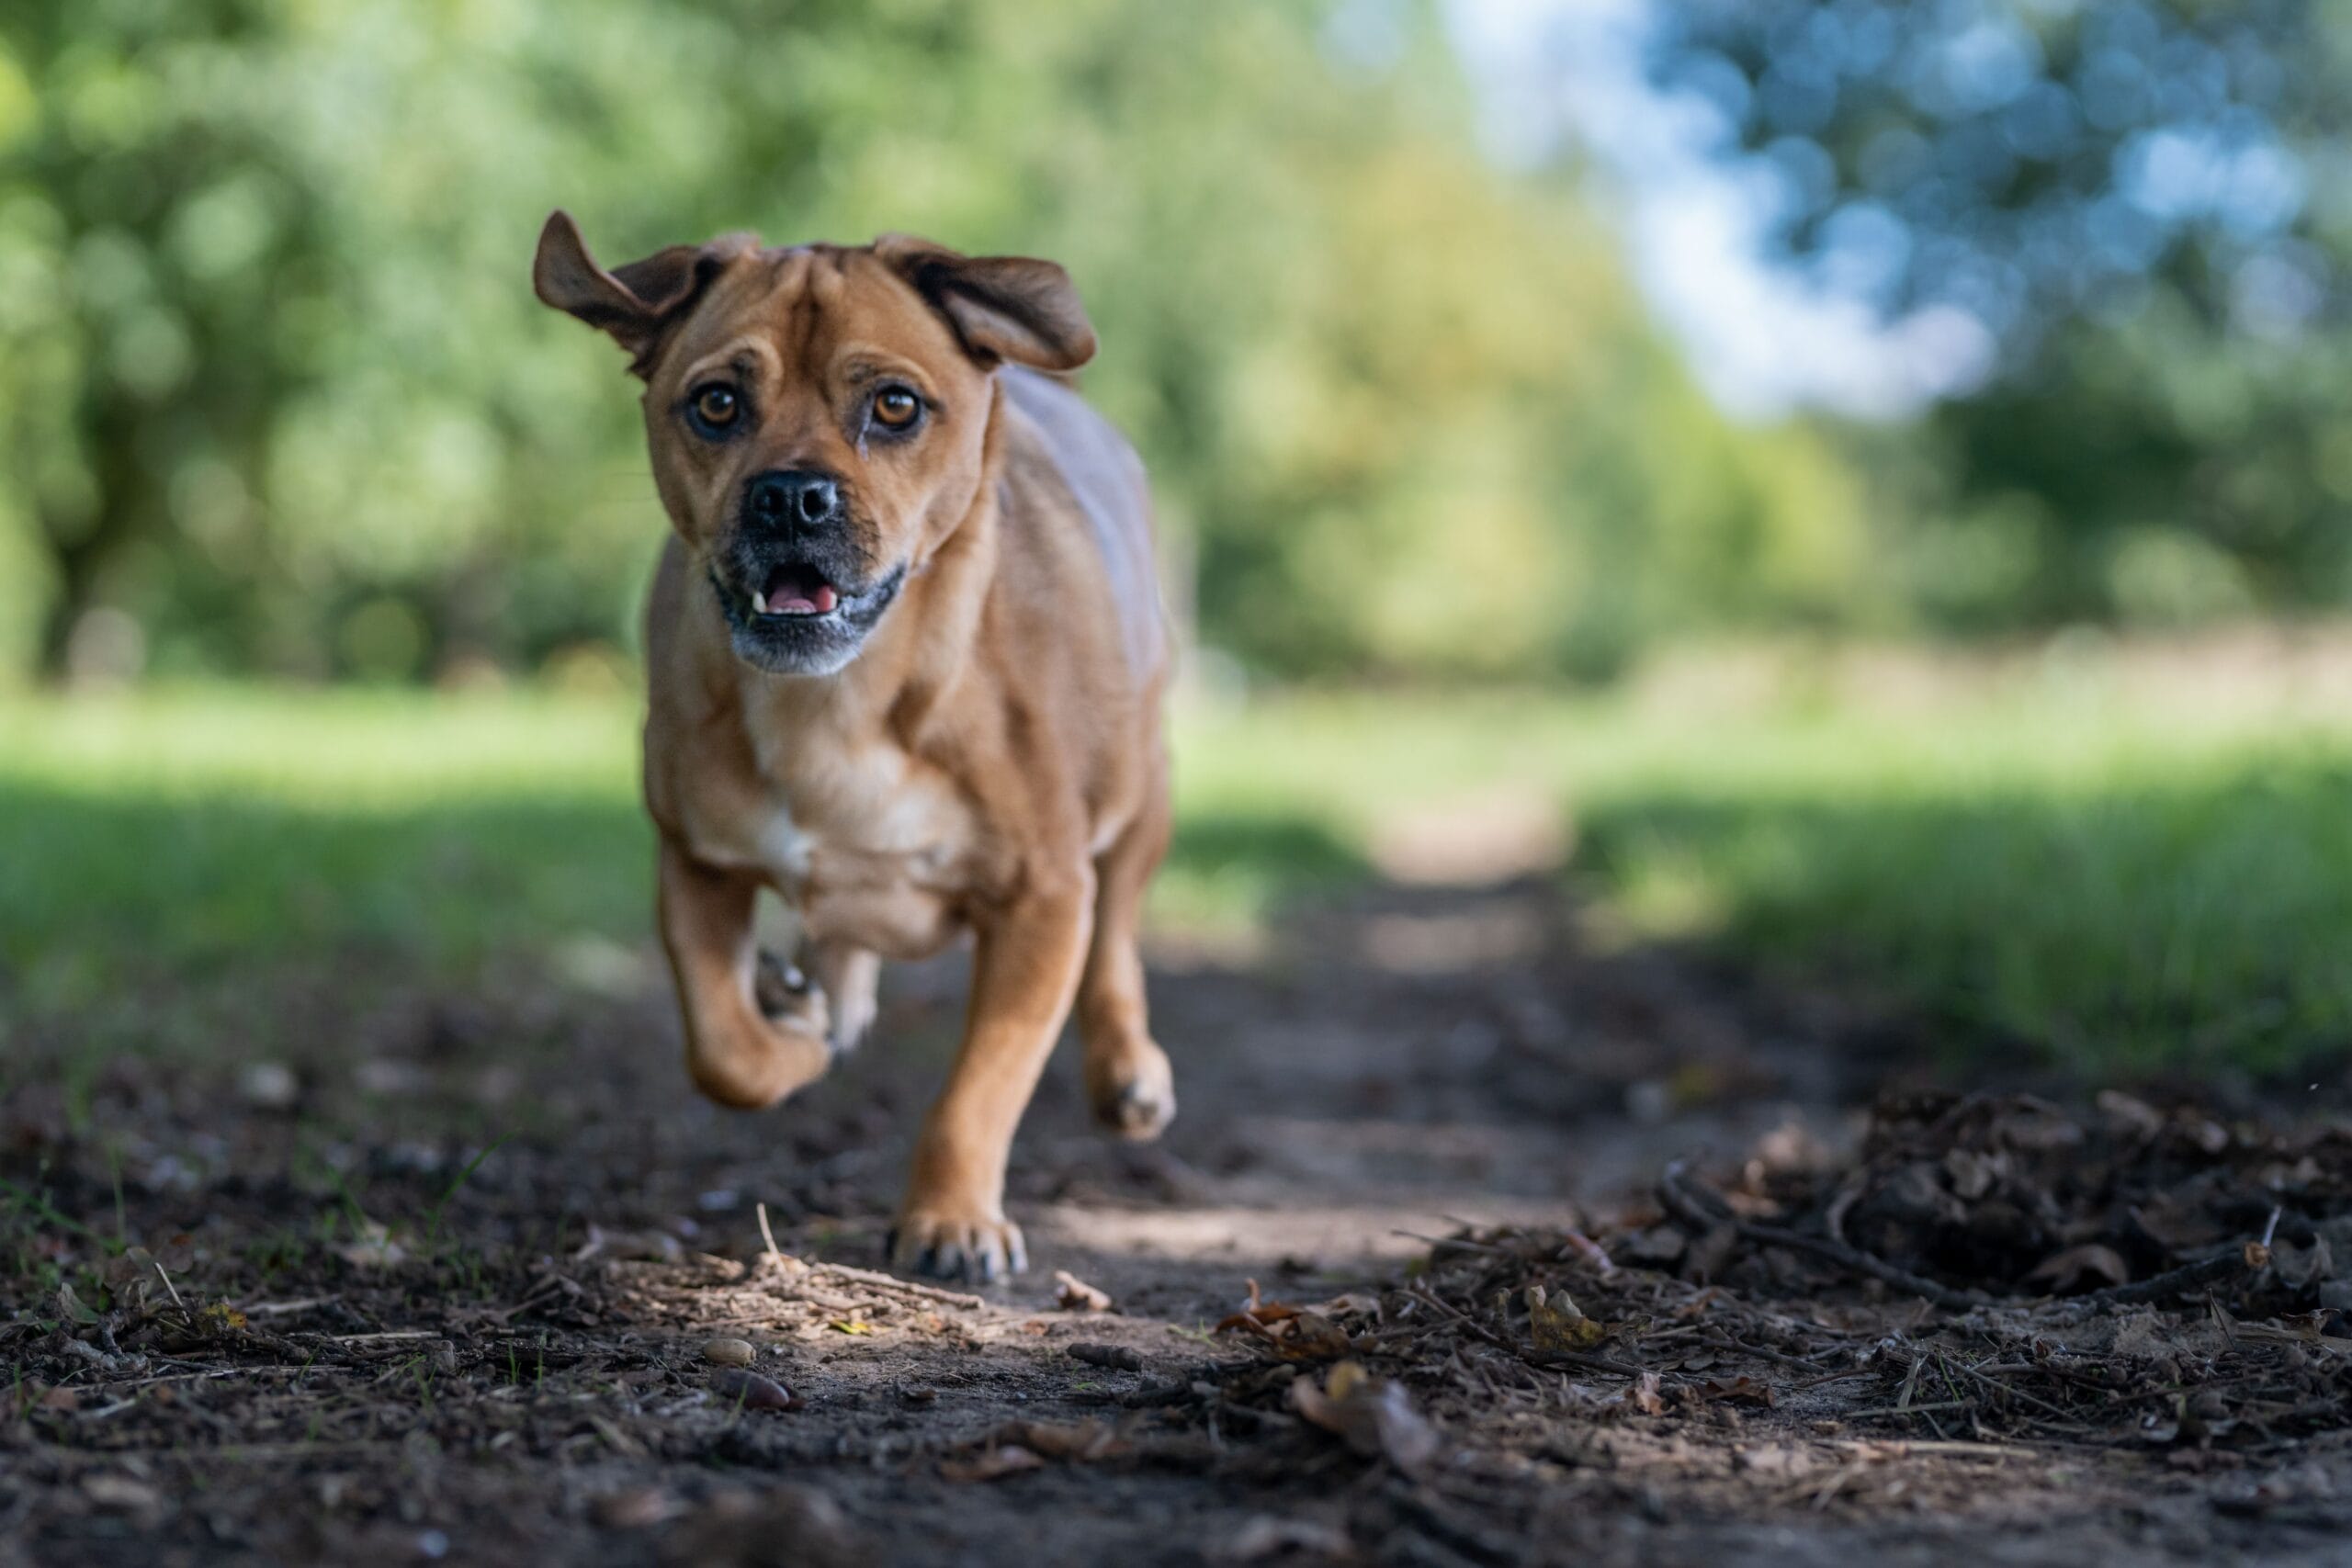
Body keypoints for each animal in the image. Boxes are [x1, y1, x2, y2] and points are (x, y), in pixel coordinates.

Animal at [524, 211, 1166, 1288]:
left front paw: (951, 1217)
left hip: (1140, 793)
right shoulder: (695, 859)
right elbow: (725, 1050)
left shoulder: (1043, 898)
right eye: (716, 402)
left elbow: (980, 1086)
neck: (842, 700)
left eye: (895, 406)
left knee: (1118, 924)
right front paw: (788, 1033)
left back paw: (1127, 1070)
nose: (791, 496)